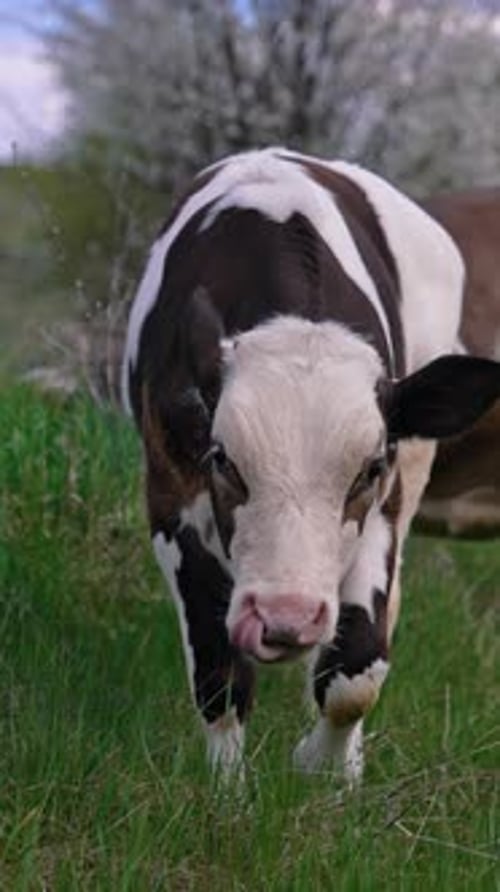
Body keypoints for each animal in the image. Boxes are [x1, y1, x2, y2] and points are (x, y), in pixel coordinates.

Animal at [121, 148, 500, 784]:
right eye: (223, 458)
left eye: (368, 469)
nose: (286, 619)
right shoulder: (171, 489)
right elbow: (219, 671)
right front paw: (226, 792)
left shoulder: (388, 499)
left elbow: (357, 668)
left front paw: (325, 770)